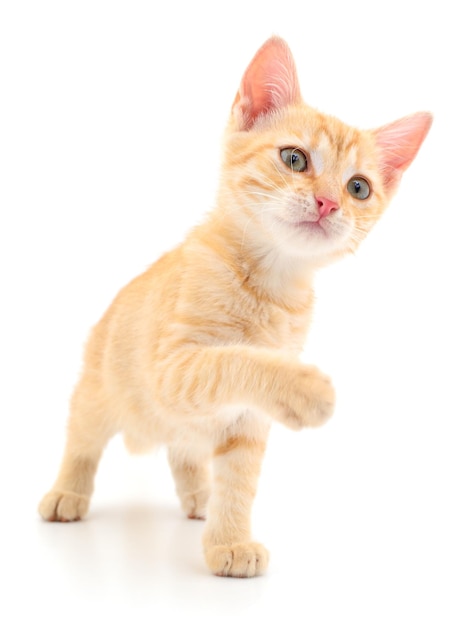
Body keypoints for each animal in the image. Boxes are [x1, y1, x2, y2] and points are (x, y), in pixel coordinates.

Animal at [39, 36, 434, 576]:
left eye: (359, 187)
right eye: (295, 159)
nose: (329, 203)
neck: (271, 285)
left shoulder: (246, 421)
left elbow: (239, 478)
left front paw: (229, 539)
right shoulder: (172, 367)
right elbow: (235, 360)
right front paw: (303, 388)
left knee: (184, 451)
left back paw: (200, 496)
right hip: (101, 391)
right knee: (82, 437)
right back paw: (67, 493)